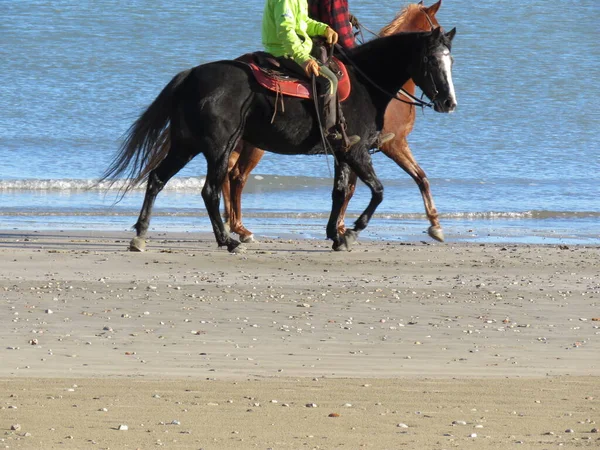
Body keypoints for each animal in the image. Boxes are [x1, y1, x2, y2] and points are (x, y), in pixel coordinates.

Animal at [103, 27, 458, 253]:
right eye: (431, 60)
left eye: (451, 60)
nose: (448, 102)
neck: (364, 84)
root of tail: (191, 75)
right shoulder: (358, 150)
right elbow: (378, 192)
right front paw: (352, 233)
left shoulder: (344, 152)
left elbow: (339, 192)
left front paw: (335, 234)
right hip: (218, 148)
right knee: (210, 191)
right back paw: (228, 240)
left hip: (186, 145)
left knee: (157, 179)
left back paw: (141, 235)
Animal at [224, 0, 446, 243]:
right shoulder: (391, 143)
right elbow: (414, 177)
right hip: (255, 145)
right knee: (238, 176)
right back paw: (240, 228)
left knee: (228, 174)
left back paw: (231, 222)